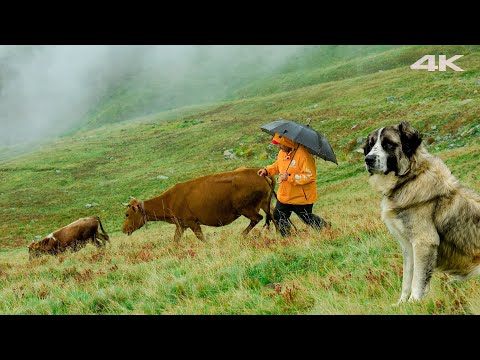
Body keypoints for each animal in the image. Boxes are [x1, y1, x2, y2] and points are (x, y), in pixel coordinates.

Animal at [122, 167, 276, 242]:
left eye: (127, 214)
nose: (123, 230)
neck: (169, 200)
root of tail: (257, 172)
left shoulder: (192, 222)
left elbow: (201, 238)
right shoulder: (181, 225)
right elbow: (175, 241)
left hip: (245, 208)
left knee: (257, 219)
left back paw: (241, 235)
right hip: (265, 204)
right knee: (275, 217)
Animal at [364, 121, 480, 304]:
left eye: (388, 144)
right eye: (371, 144)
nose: (367, 159)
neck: (409, 178)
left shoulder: (424, 242)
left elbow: (417, 280)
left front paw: (414, 303)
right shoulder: (408, 246)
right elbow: (407, 279)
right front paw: (401, 304)